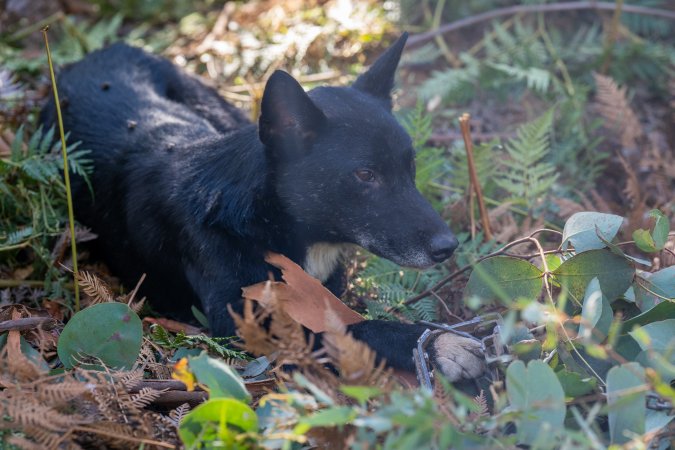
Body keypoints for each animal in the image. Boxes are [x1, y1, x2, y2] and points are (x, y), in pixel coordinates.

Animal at [42, 33, 484, 382]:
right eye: (365, 175)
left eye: (410, 166)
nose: (448, 247)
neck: (263, 218)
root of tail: (104, 51)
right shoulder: (247, 326)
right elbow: (356, 330)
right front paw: (437, 344)